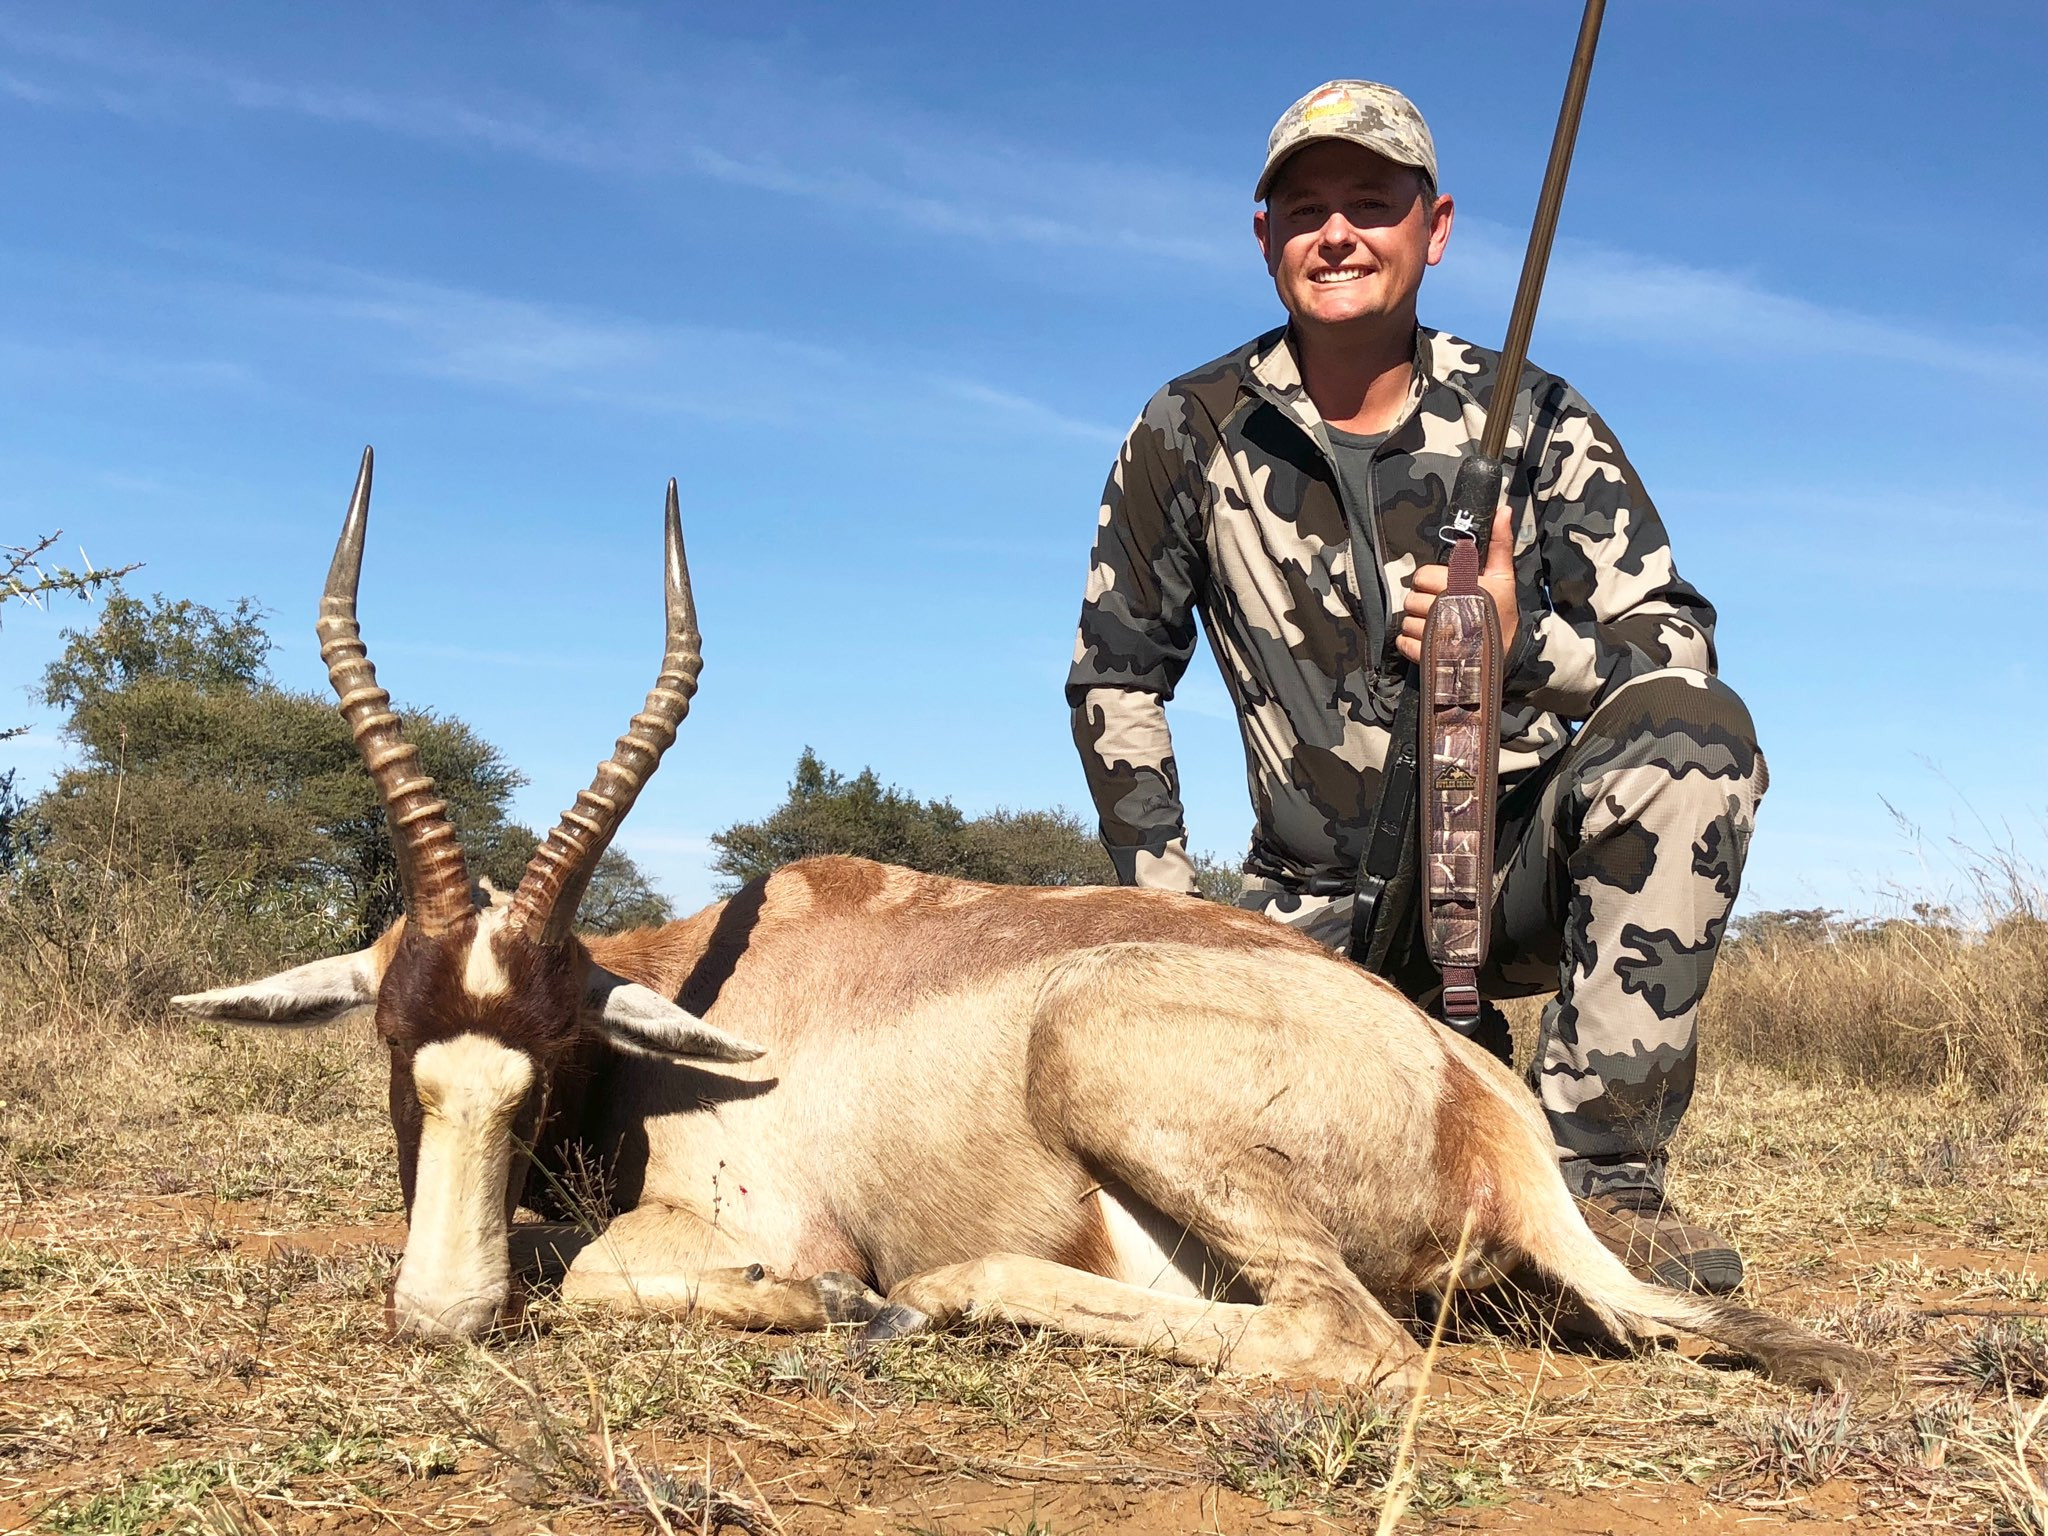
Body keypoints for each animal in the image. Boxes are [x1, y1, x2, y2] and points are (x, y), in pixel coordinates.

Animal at [176, 450, 1875, 1400]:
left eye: (549, 1049)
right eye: (397, 1043)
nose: (440, 1314)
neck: (723, 982)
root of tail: (1482, 1102)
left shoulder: (747, 1218)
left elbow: (610, 1274)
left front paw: (819, 1302)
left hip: (1120, 1083)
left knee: (1338, 1340)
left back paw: (924, 1303)